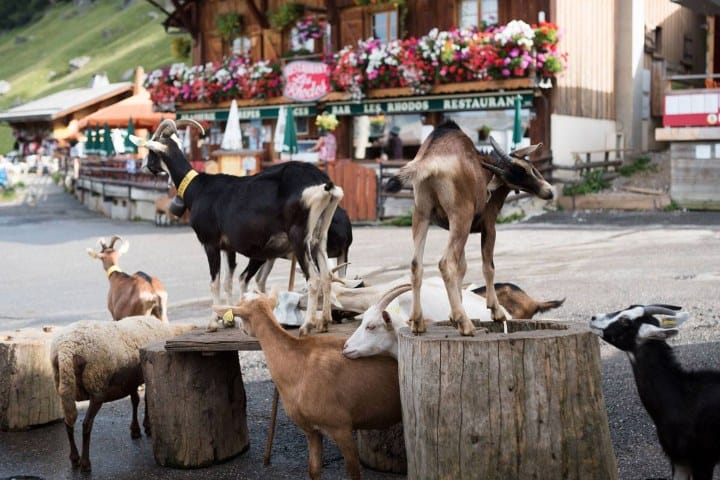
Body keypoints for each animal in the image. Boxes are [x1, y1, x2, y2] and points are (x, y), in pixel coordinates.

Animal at [133, 119, 342, 335]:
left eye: (151, 149)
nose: (143, 166)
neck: (197, 188)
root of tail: (323, 184)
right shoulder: (228, 247)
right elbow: (228, 281)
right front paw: (230, 320)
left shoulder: (210, 243)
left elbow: (215, 283)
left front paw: (212, 323)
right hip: (318, 236)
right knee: (326, 275)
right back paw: (325, 321)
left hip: (299, 236)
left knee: (314, 279)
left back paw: (307, 325)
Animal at [214, 292, 401, 480]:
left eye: (240, 311)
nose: (240, 329)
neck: (299, 364)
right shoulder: (311, 430)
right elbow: (314, 469)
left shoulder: (342, 429)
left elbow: (353, 474)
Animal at [386, 120, 553, 336]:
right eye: (527, 168)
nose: (548, 192)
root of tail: (430, 161)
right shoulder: (489, 224)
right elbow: (488, 266)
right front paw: (495, 311)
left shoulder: (451, 226)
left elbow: (463, 267)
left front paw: (452, 315)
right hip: (460, 214)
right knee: (445, 262)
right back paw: (465, 323)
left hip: (422, 213)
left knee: (416, 264)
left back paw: (418, 322)